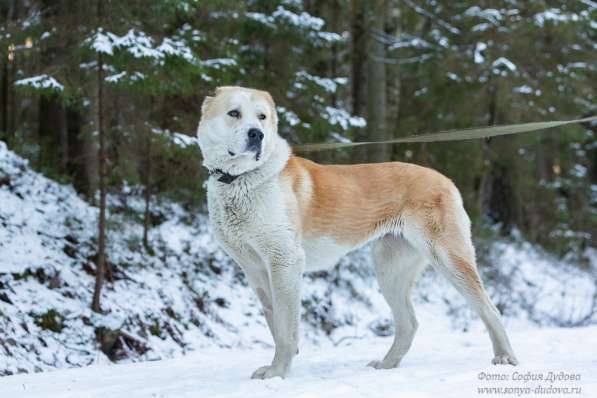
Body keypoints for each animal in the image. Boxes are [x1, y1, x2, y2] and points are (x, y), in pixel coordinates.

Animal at [197, 86, 516, 380]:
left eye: (262, 117)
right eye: (234, 113)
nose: (257, 134)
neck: (242, 179)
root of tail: (445, 180)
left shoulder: (284, 262)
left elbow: (286, 327)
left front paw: (277, 373)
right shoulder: (256, 271)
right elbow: (275, 322)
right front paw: (282, 363)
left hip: (449, 258)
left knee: (490, 309)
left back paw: (505, 357)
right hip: (390, 271)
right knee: (408, 323)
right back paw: (387, 365)